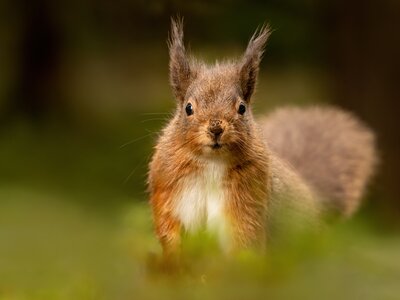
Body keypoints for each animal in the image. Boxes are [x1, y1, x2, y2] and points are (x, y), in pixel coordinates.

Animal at [148, 17, 378, 258]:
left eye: (242, 108)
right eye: (188, 108)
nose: (216, 129)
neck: (211, 161)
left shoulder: (247, 204)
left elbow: (244, 244)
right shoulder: (170, 194)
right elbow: (169, 231)